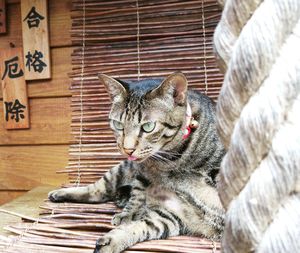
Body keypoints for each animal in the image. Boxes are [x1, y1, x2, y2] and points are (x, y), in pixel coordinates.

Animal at [48, 72, 225, 253]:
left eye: (148, 126)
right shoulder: (143, 174)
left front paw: (114, 239)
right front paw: (128, 215)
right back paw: (61, 194)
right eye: (118, 125)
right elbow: (138, 197)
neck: (171, 160)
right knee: (99, 191)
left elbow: (141, 227)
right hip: (122, 168)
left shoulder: (173, 214)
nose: (128, 149)